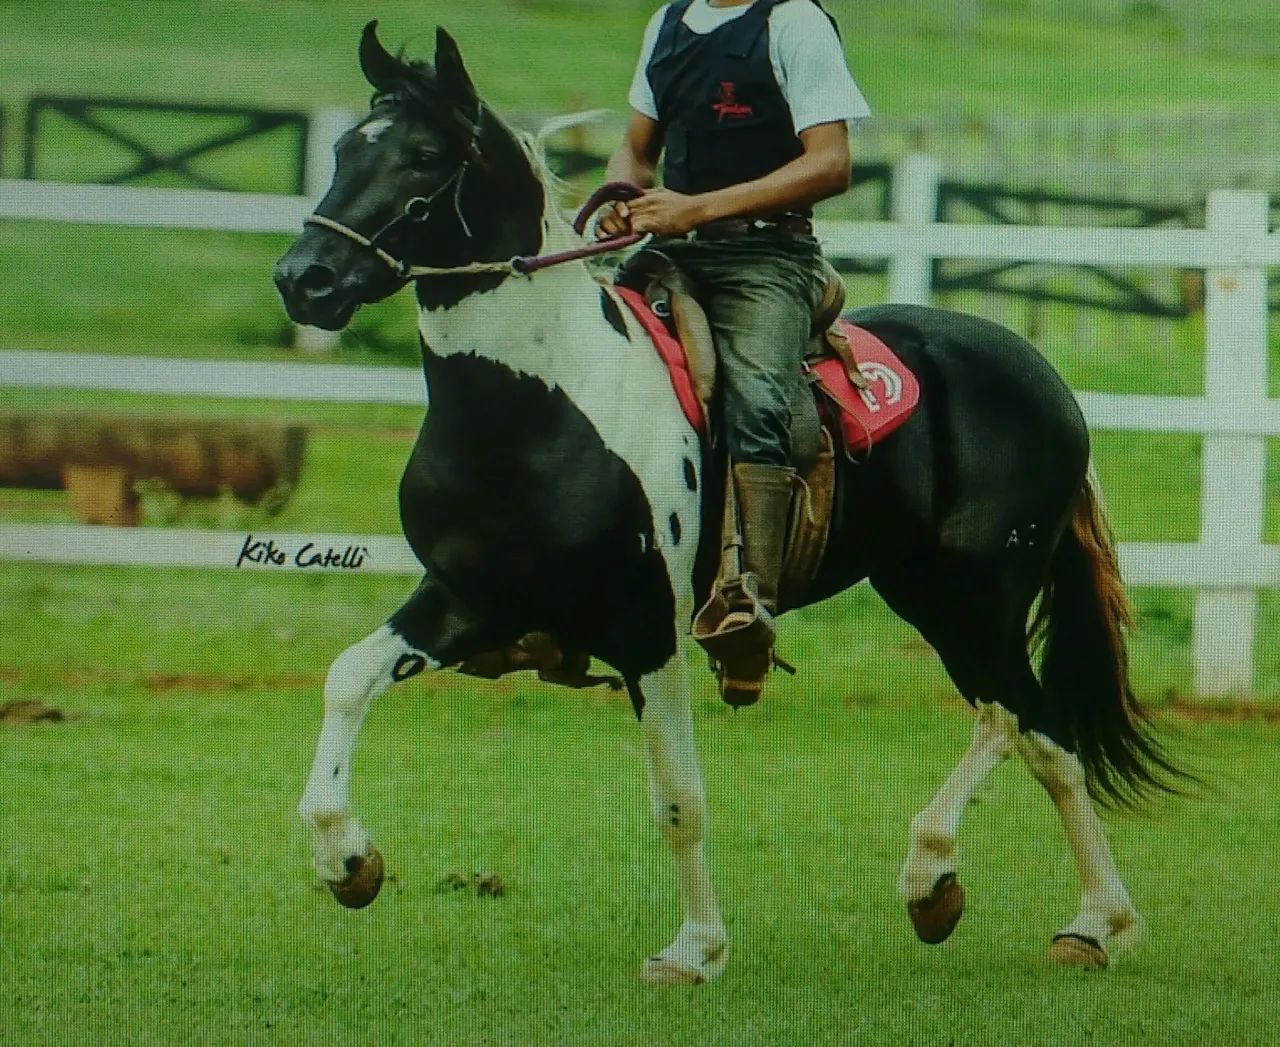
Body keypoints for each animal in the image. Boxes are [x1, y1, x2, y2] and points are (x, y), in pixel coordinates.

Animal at [273, 22, 1181, 983]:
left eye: (422, 157)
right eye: (343, 149)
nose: (304, 279)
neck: (541, 401)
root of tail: (1043, 378)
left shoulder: (647, 628)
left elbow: (679, 798)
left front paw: (694, 947)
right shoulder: (467, 600)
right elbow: (346, 678)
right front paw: (347, 860)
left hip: (974, 599)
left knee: (1017, 717)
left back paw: (950, 880)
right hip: (929, 592)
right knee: (1046, 739)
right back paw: (1085, 922)